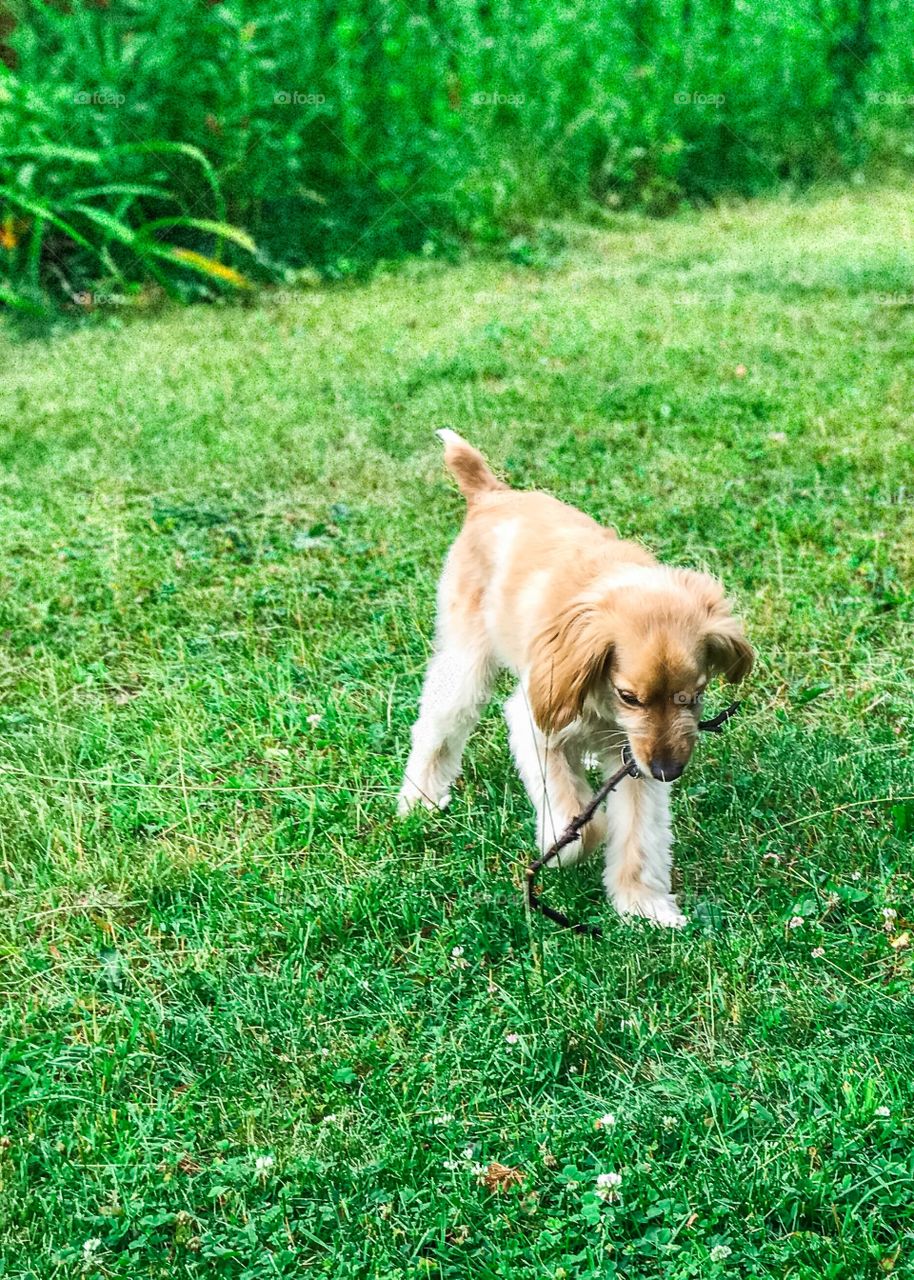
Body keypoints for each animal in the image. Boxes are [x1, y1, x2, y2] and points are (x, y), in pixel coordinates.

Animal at [396, 435, 747, 926]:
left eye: (693, 696)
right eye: (629, 696)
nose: (668, 771)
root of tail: (491, 493)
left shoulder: (635, 757)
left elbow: (641, 832)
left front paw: (644, 905)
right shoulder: (537, 723)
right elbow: (579, 816)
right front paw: (561, 848)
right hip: (466, 661)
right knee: (437, 725)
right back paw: (419, 799)